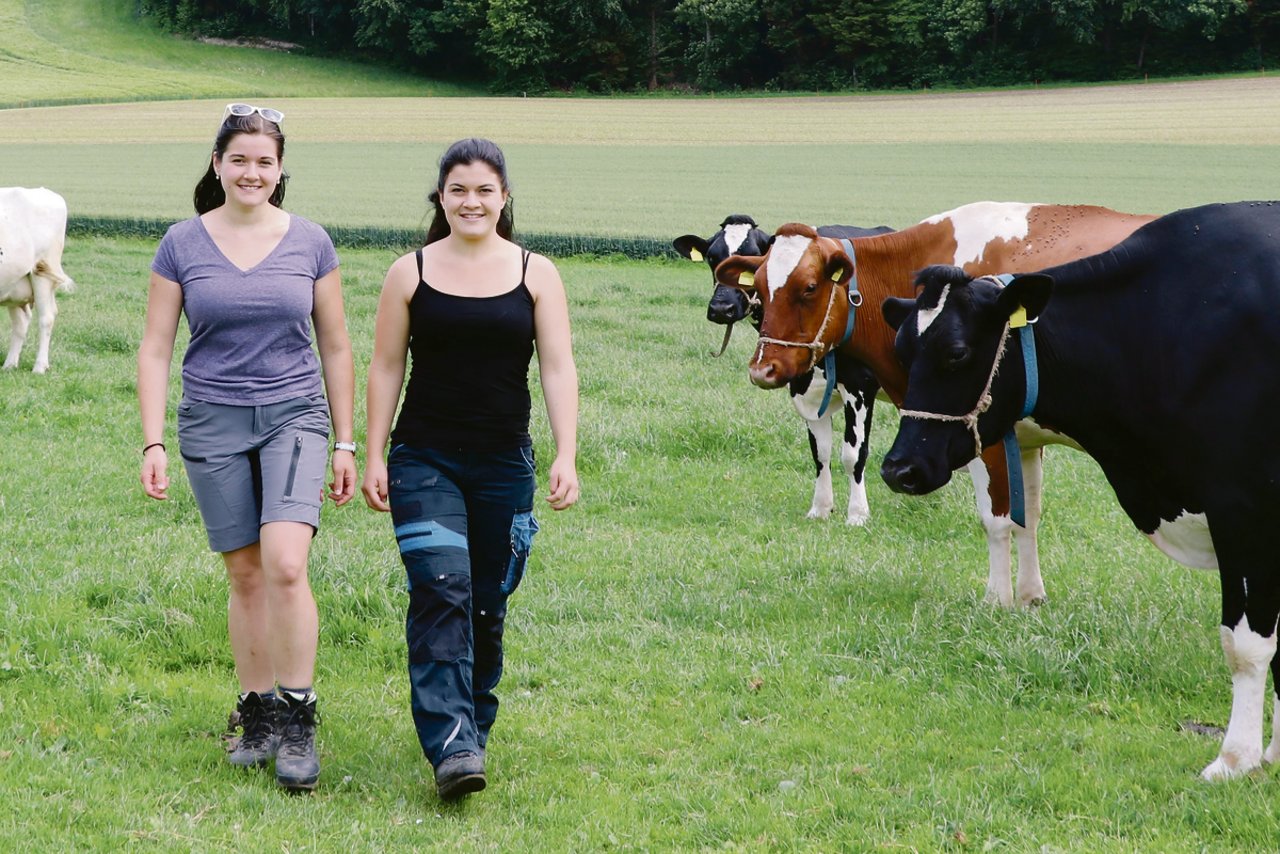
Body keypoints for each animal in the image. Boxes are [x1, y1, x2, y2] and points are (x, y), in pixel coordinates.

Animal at [675, 217, 896, 524]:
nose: (721, 308)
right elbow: (820, 452)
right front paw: (820, 509)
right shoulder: (803, 386)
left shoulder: (860, 386)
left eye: (754, 253)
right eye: (711, 258)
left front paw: (857, 514)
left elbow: (854, 454)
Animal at [716, 202, 1157, 606]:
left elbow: (997, 520)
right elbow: (1027, 517)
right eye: (759, 285)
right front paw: (1031, 597)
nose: (763, 368)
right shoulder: (1026, 440)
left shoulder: (982, 433)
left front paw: (998, 602)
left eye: (808, 287)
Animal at [880, 202, 1280, 783]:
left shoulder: (1244, 511)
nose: (899, 468)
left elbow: (1247, 644)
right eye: (903, 350)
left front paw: (1236, 759)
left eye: (956, 352)